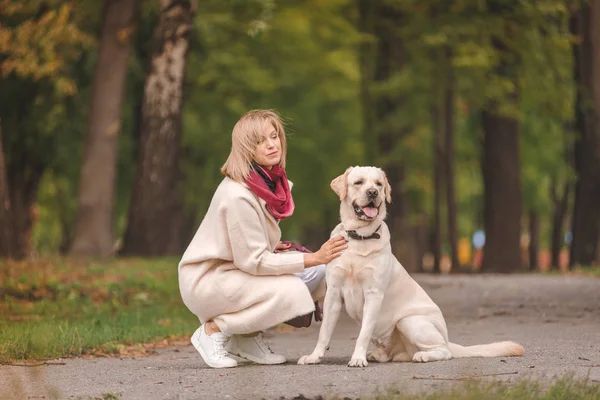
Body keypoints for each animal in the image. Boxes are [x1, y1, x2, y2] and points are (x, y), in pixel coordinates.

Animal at [298, 166, 524, 368]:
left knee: (445, 352)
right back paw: (378, 354)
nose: (373, 193)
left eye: (378, 184)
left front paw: (358, 358)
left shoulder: (374, 294)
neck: (360, 237)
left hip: (409, 321)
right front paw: (314, 356)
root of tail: (447, 338)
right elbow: (324, 332)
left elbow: (363, 333)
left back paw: (423, 355)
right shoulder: (334, 293)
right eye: (359, 182)